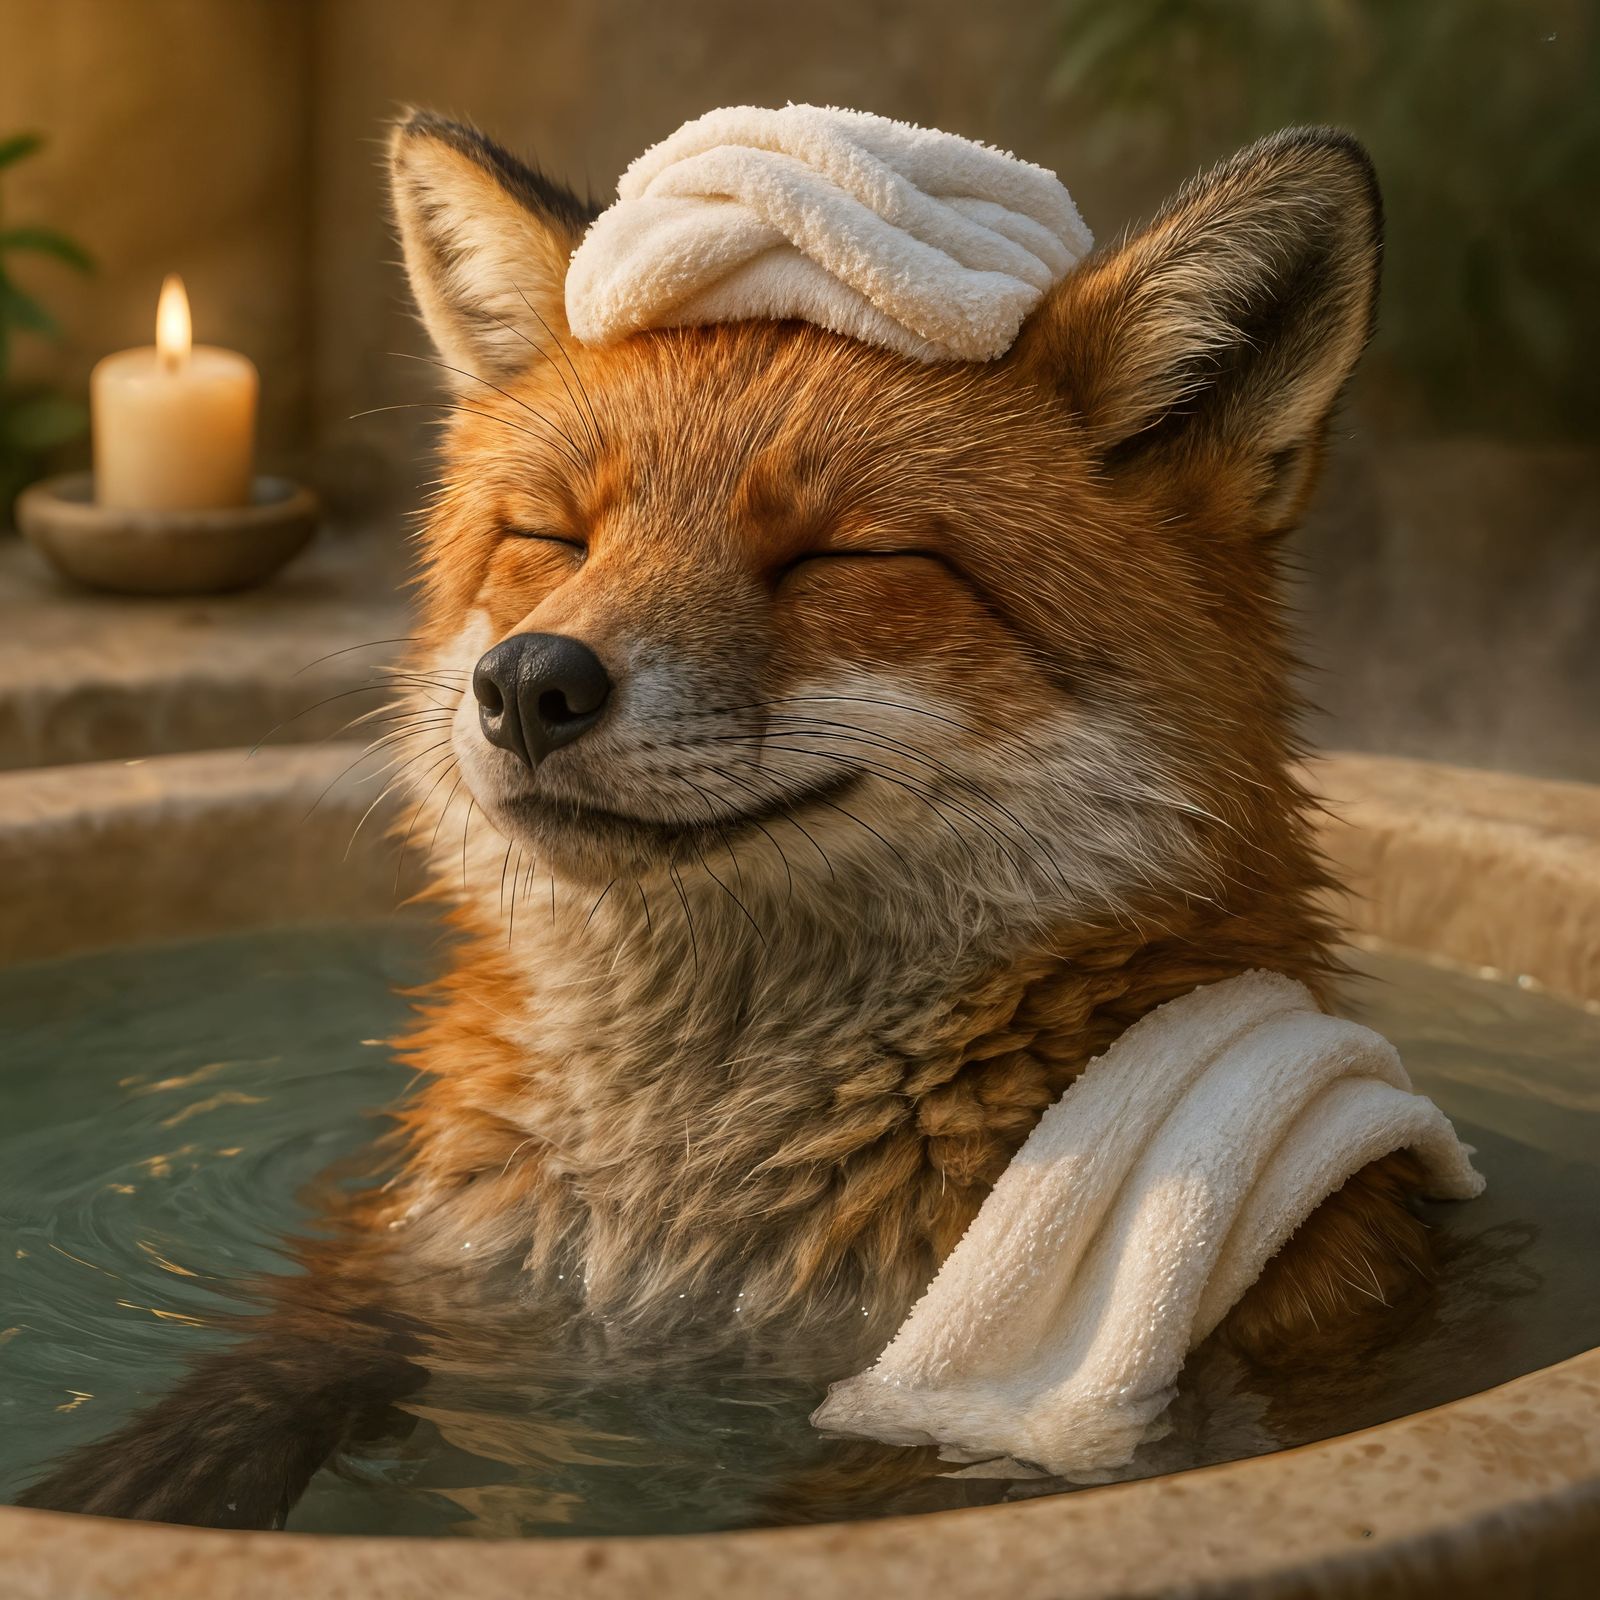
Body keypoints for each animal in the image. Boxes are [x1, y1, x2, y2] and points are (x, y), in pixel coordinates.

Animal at [18, 111, 1433, 1530]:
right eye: (554, 537)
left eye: (840, 558)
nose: (528, 685)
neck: (681, 1225)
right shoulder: (437, 1248)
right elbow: (283, 1358)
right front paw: (136, 1481)